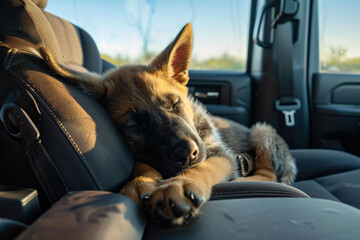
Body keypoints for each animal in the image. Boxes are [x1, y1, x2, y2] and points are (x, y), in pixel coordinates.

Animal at [40, 23, 296, 226]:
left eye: (175, 104)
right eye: (135, 127)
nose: (187, 153)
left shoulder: (219, 153)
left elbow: (202, 167)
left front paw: (179, 185)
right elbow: (142, 163)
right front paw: (138, 183)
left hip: (262, 131)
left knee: (270, 174)